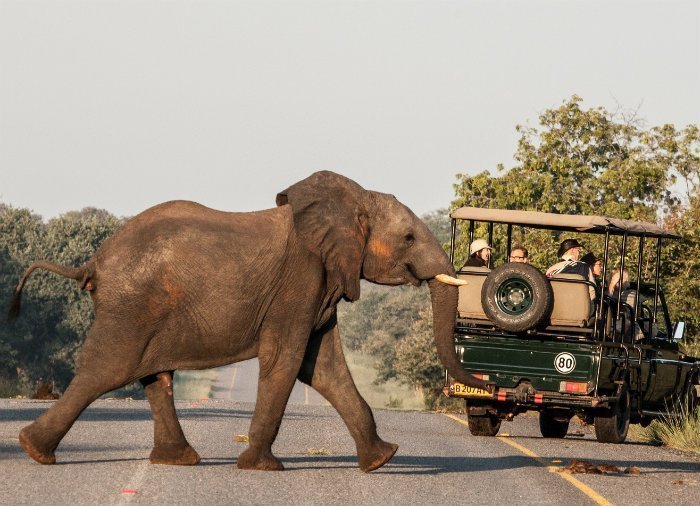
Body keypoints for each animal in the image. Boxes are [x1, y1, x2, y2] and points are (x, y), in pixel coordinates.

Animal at [8, 170, 490, 472]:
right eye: (408, 237)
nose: (495, 385)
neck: (349, 202)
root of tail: (94, 261)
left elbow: (324, 367)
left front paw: (383, 460)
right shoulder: (299, 281)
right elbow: (287, 360)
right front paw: (262, 468)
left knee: (154, 376)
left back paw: (178, 460)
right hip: (131, 306)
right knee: (108, 370)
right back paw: (34, 451)